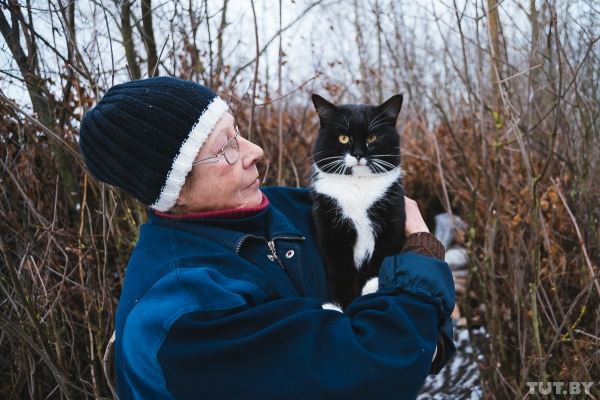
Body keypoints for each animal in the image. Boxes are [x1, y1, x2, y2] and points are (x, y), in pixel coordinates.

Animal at [312, 94, 406, 310]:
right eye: (343, 138)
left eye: (372, 138)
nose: (357, 154)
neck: (358, 185)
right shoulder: (330, 228)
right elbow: (340, 270)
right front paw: (339, 305)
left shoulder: (393, 218)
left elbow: (384, 254)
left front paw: (372, 286)